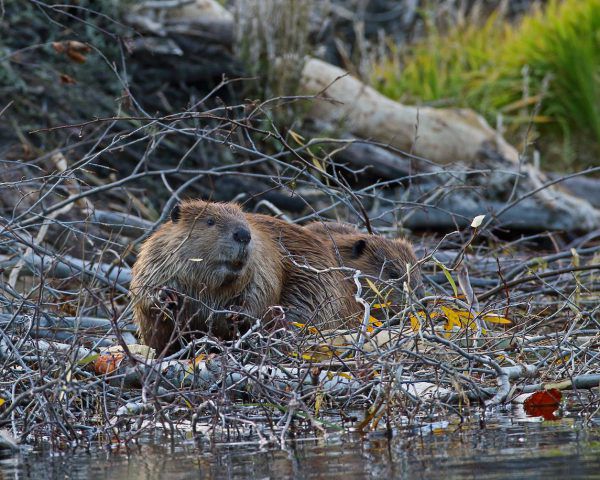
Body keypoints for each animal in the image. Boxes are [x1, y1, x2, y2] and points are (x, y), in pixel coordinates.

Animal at [130, 201, 360, 354]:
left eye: (245, 223)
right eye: (210, 221)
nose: (243, 235)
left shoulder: (264, 261)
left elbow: (262, 293)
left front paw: (236, 312)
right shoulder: (155, 256)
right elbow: (143, 291)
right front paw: (167, 297)